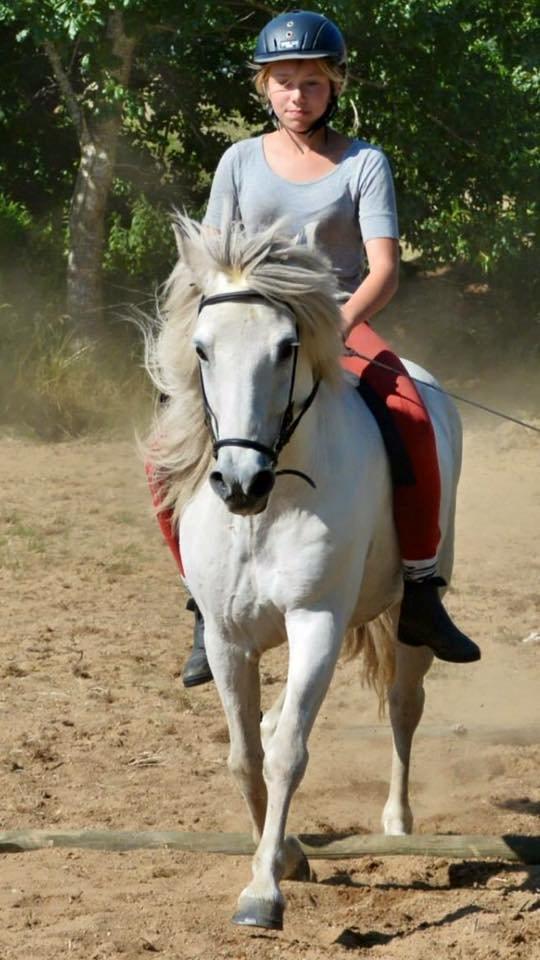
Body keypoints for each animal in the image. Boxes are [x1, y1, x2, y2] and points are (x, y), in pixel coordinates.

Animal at [142, 216, 460, 928]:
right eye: (201, 350)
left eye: (287, 347)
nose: (239, 483)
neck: (275, 498)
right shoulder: (230, 639)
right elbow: (247, 755)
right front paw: (285, 854)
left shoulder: (316, 621)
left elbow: (287, 752)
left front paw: (264, 891)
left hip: (407, 616)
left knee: (404, 705)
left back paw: (398, 823)